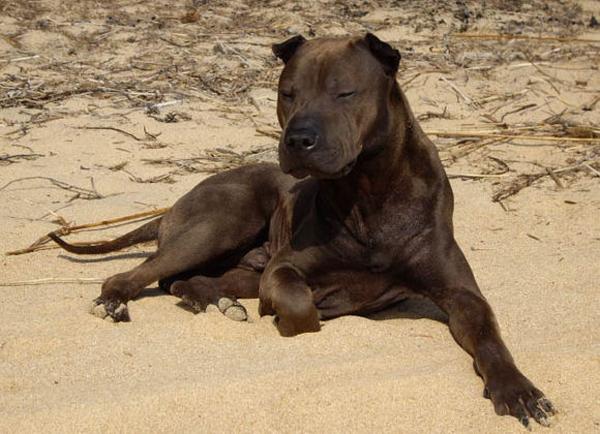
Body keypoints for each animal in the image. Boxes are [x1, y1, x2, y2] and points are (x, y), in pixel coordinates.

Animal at [49, 33, 556, 428]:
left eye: (345, 93)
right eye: (288, 93)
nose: (298, 139)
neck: (367, 190)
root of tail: (173, 204)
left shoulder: (461, 294)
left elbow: (489, 337)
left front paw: (517, 389)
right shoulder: (284, 269)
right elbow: (300, 308)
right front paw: (309, 310)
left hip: (239, 259)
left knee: (186, 280)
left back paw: (212, 299)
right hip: (222, 219)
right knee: (137, 274)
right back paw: (119, 301)